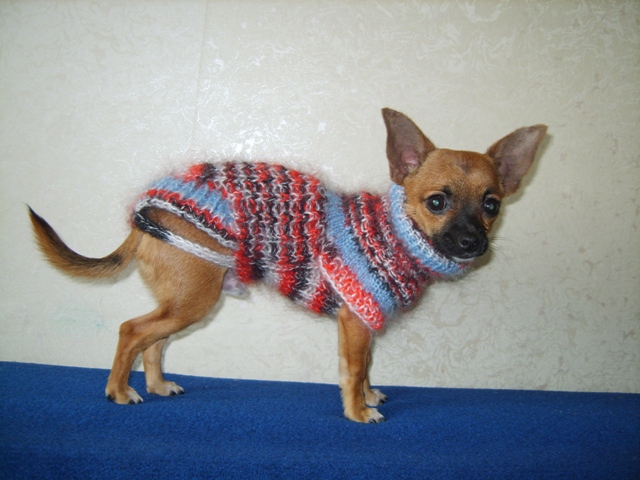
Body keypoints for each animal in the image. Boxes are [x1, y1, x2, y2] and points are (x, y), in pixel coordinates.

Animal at [29, 109, 547, 423]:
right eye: (437, 202)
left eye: (492, 205)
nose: (472, 242)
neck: (397, 232)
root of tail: (148, 206)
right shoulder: (354, 322)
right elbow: (353, 370)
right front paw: (358, 411)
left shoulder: (363, 324)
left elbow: (367, 367)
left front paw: (370, 395)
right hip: (193, 300)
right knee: (131, 332)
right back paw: (119, 391)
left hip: (186, 301)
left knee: (153, 341)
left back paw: (157, 386)